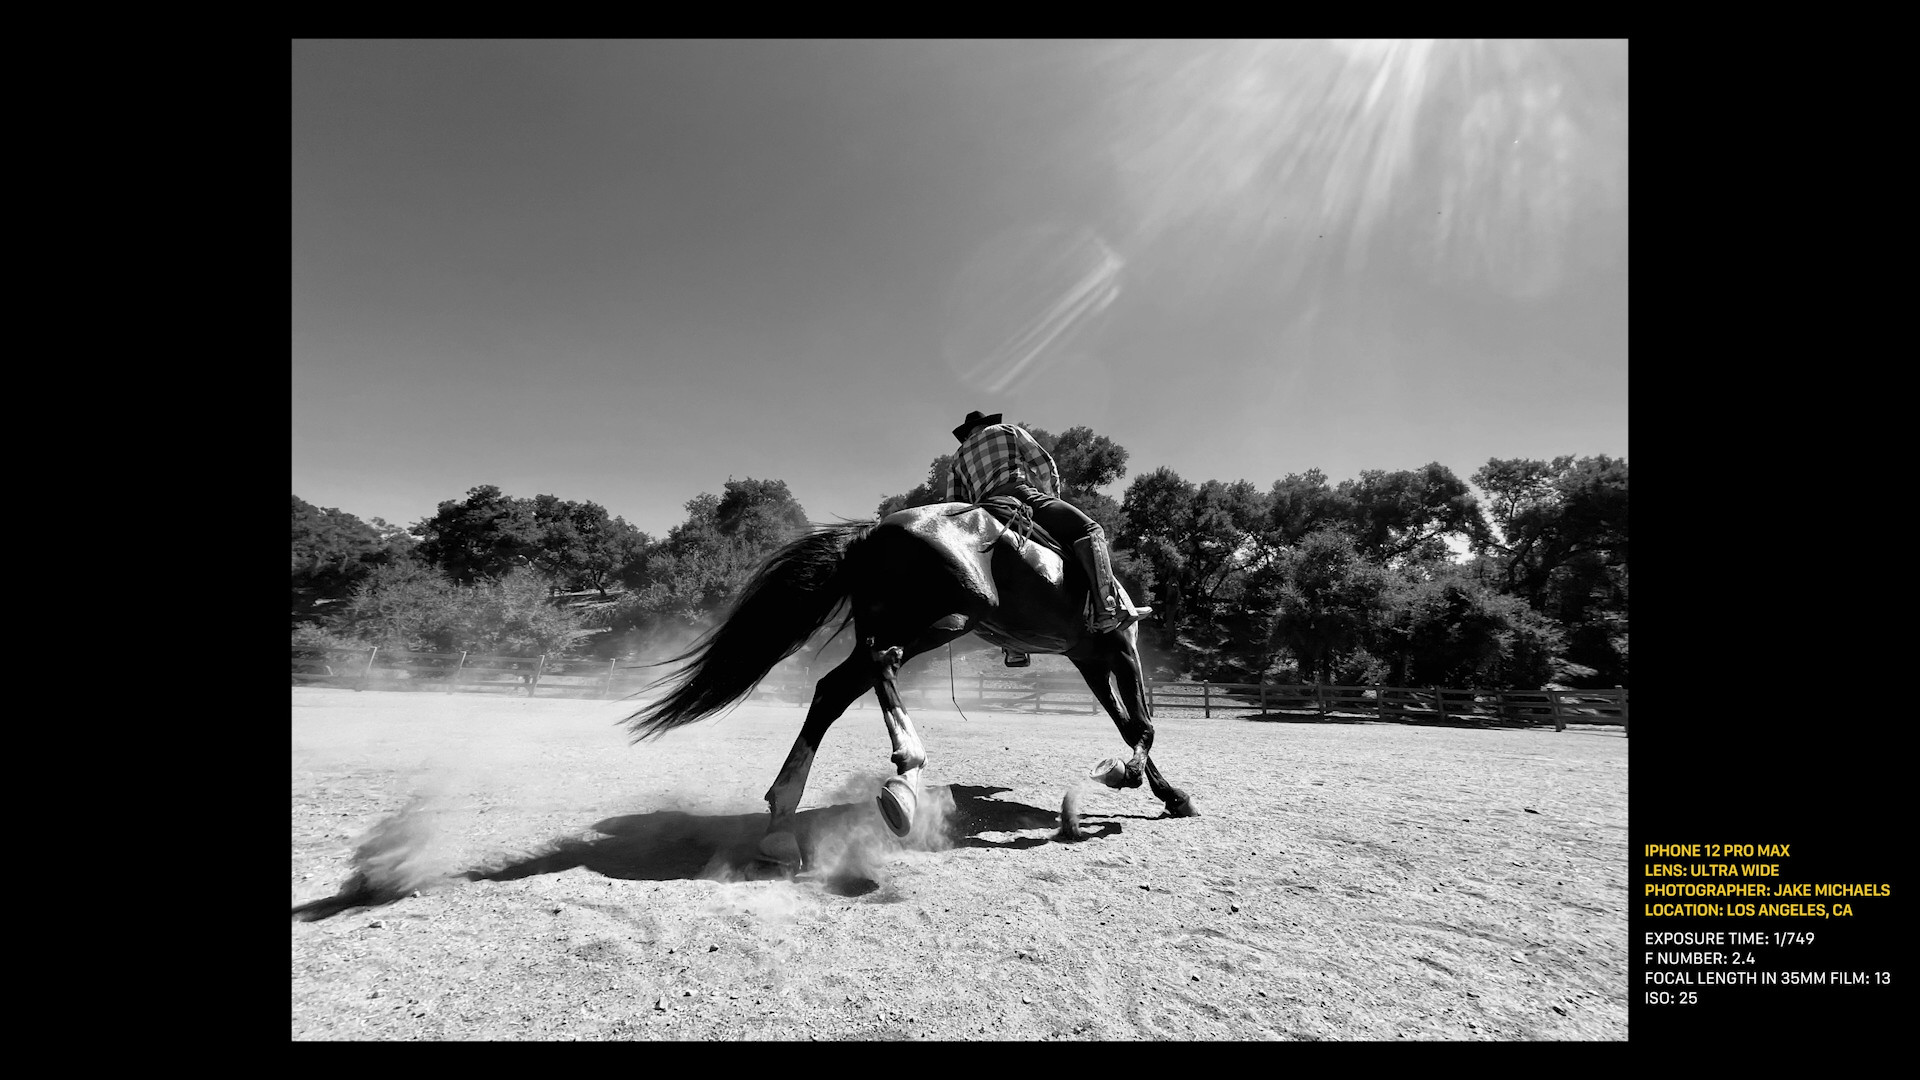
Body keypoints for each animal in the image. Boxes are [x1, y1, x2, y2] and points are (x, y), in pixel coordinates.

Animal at [623, 501, 1199, 869]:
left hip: (905, 622)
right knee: (883, 661)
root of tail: (873, 533)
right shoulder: (1121, 649)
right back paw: (905, 775)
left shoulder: (1089, 662)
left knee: (832, 690)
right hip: (951, 615)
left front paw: (1169, 794)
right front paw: (1126, 777)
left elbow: (1128, 725)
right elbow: (1143, 725)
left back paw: (784, 819)